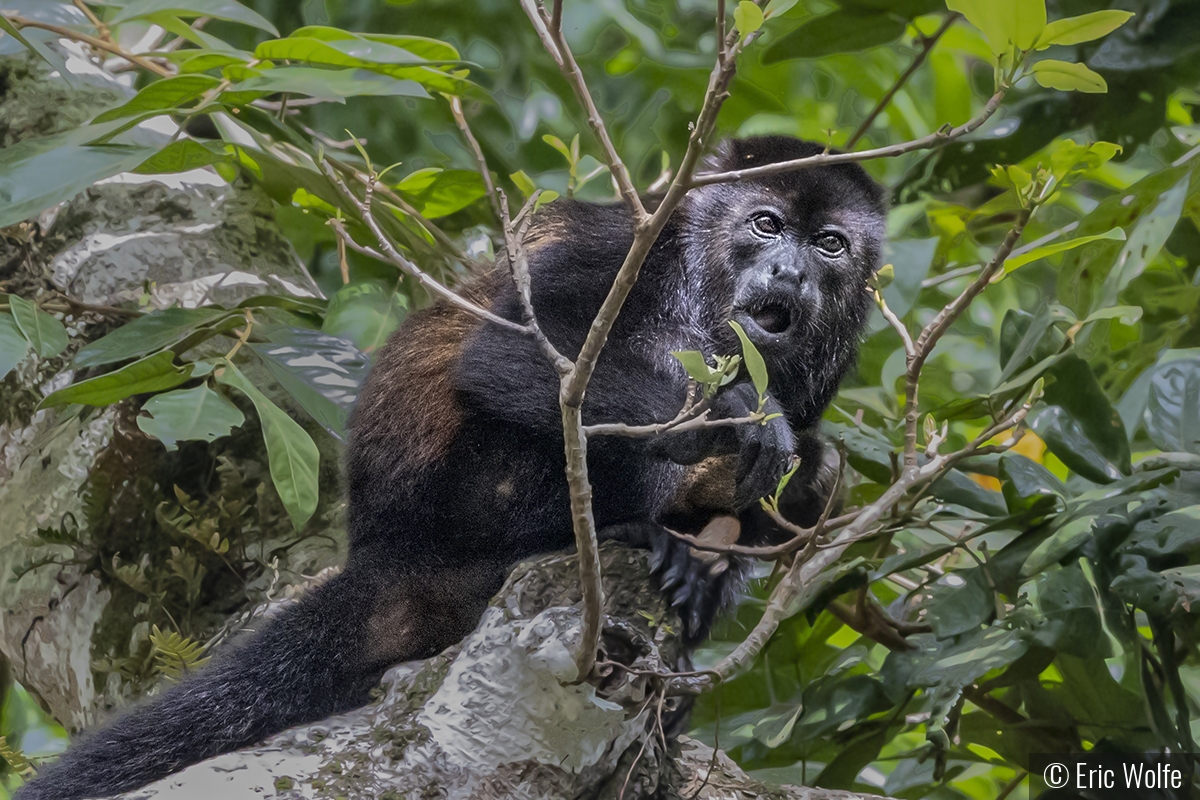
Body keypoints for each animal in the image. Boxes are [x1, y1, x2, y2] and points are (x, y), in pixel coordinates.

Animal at [16, 134, 883, 796]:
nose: (789, 273)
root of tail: (390, 554)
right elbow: (508, 356)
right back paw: (633, 533)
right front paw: (738, 419)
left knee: (819, 472)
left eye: (829, 245)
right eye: (765, 224)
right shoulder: (629, 250)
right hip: (477, 494)